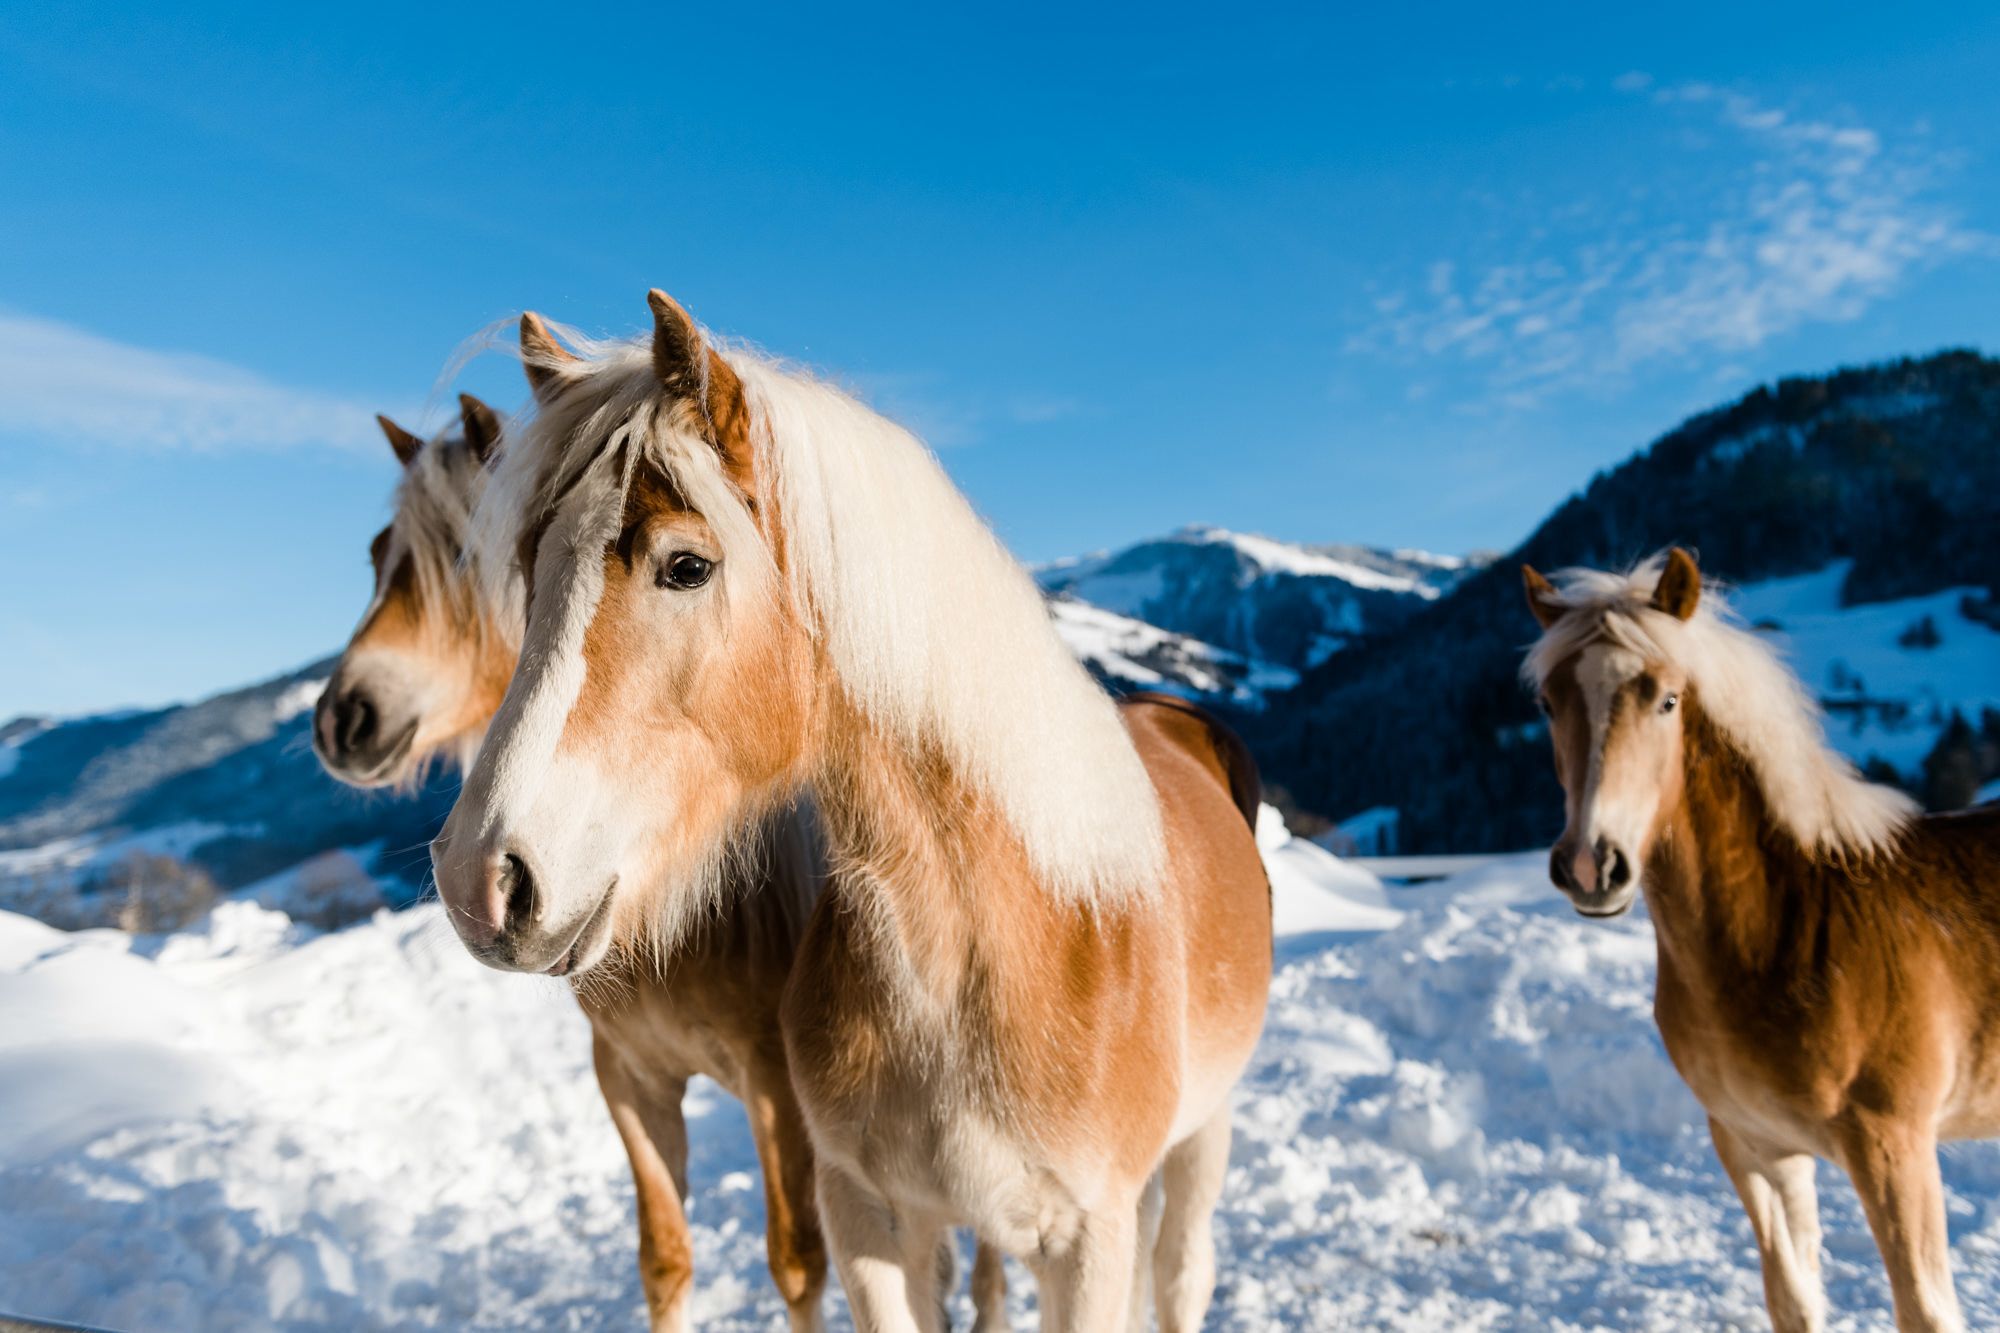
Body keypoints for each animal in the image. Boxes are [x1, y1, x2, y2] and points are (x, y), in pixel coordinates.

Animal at [313, 389, 846, 1333]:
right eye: (378, 557)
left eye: (465, 555)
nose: (345, 716)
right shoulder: (627, 1074)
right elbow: (665, 1259)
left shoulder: (779, 1090)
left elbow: (798, 1266)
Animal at [430, 289, 1273, 1332]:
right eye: (530, 566)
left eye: (686, 566)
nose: (481, 877)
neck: (991, 952)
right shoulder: (866, 1215)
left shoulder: (1088, 1244)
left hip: (1204, 1133)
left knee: (1182, 1270)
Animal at [1522, 547, 2000, 1333]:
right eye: (1548, 703)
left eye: (1667, 700)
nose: (1593, 864)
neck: (1789, 931)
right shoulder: (1758, 1149)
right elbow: (1795, 1303)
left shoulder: (1895, 1149)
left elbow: (1924, 1309)